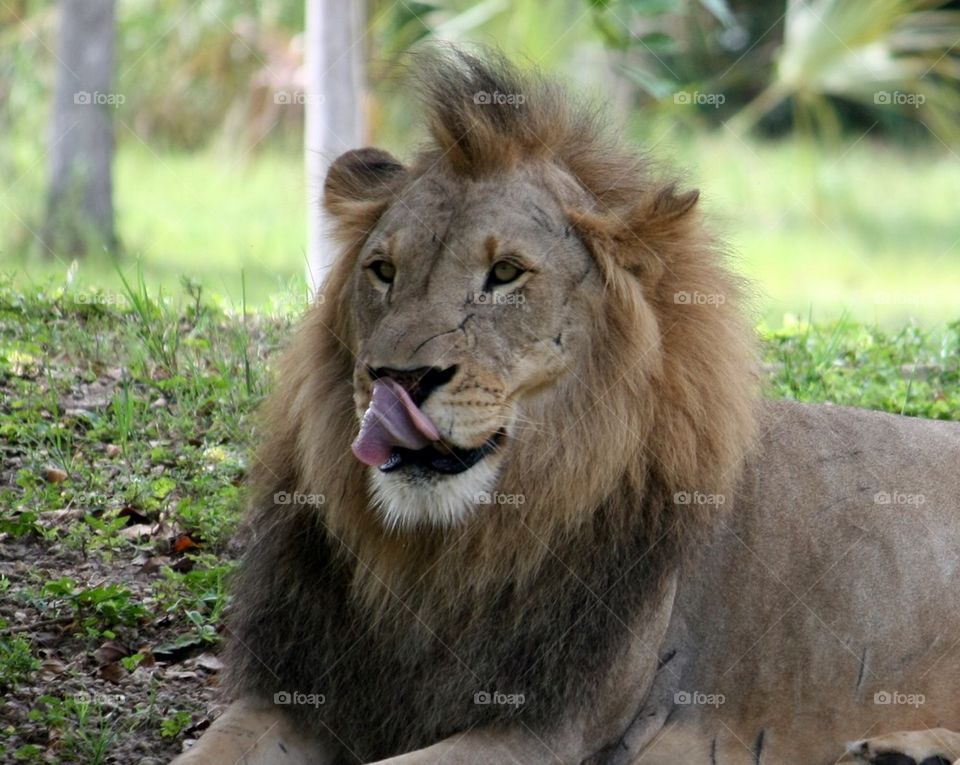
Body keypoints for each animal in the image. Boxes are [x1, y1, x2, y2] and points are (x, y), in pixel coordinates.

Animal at [171, 50, 960, 760]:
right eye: (383, 271)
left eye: (506, 273)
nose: (397, 378)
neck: (435, 554)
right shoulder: (295, 695)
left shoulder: (547, 728)